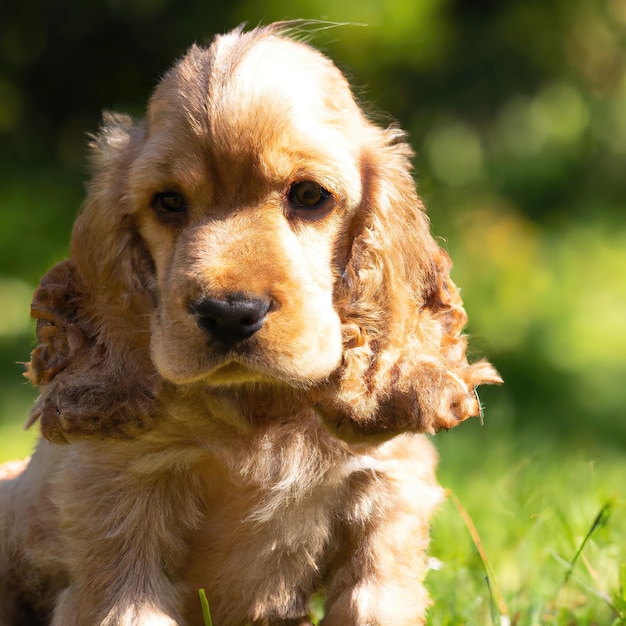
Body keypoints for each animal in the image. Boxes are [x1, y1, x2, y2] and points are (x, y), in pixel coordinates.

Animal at [0, 22, 498, 624]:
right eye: (169, 202)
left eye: (309, 195)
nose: (229, 314)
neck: (258, 410)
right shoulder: (121, 504)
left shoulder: (384, 495)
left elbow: (373, 601)